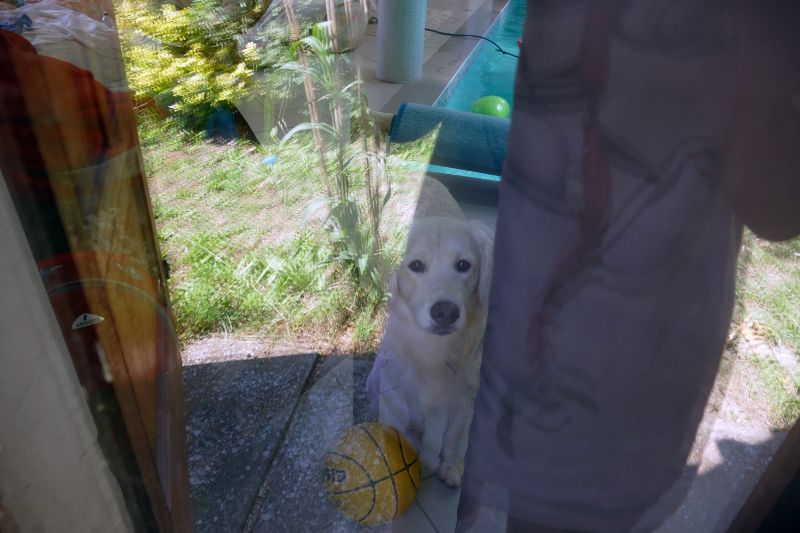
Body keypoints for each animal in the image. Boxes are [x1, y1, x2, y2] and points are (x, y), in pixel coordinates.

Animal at [367, 178, 494, 487]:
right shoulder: (395, 389)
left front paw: (450, 466)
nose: (445, 312)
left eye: (463, 265)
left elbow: (453, 436)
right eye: (416, 266)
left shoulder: (464, 394)